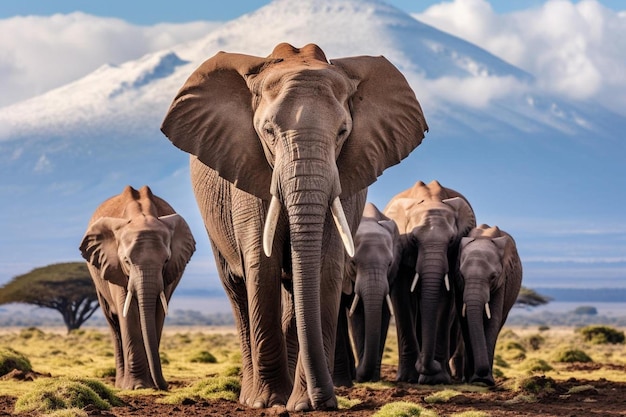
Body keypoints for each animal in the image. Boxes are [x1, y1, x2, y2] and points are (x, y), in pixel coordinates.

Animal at [79, 185, 194, 390]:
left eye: (166, 260)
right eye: (126, 261)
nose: (165, 386)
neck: (141, 215)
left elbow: (158, 311)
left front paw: (148, 385)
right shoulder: (113, 265)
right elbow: (128, 312)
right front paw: (137, 387)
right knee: (113, 323)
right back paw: (120, 384)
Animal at [332, 200, 400, 386]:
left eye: (390, 263)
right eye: (353, 263)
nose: (360, 375)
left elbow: (381, 312)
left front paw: (373, 378)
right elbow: (353, 313)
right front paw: (343, 383)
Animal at [382, 179, 476, 384]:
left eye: (451, 240)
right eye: (413, 239)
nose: (426, 364)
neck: (430, 200)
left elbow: (445, 299)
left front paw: (436, 379)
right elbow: (401, 296)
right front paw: (409, 378)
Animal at [454, 224, 520, 384]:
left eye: (493, 277)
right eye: (462, 275)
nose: (480, 375)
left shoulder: (503, 280)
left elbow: (492, 320)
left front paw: (485, 380)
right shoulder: (458, 284)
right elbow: (465, 320)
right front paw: (474, 379)